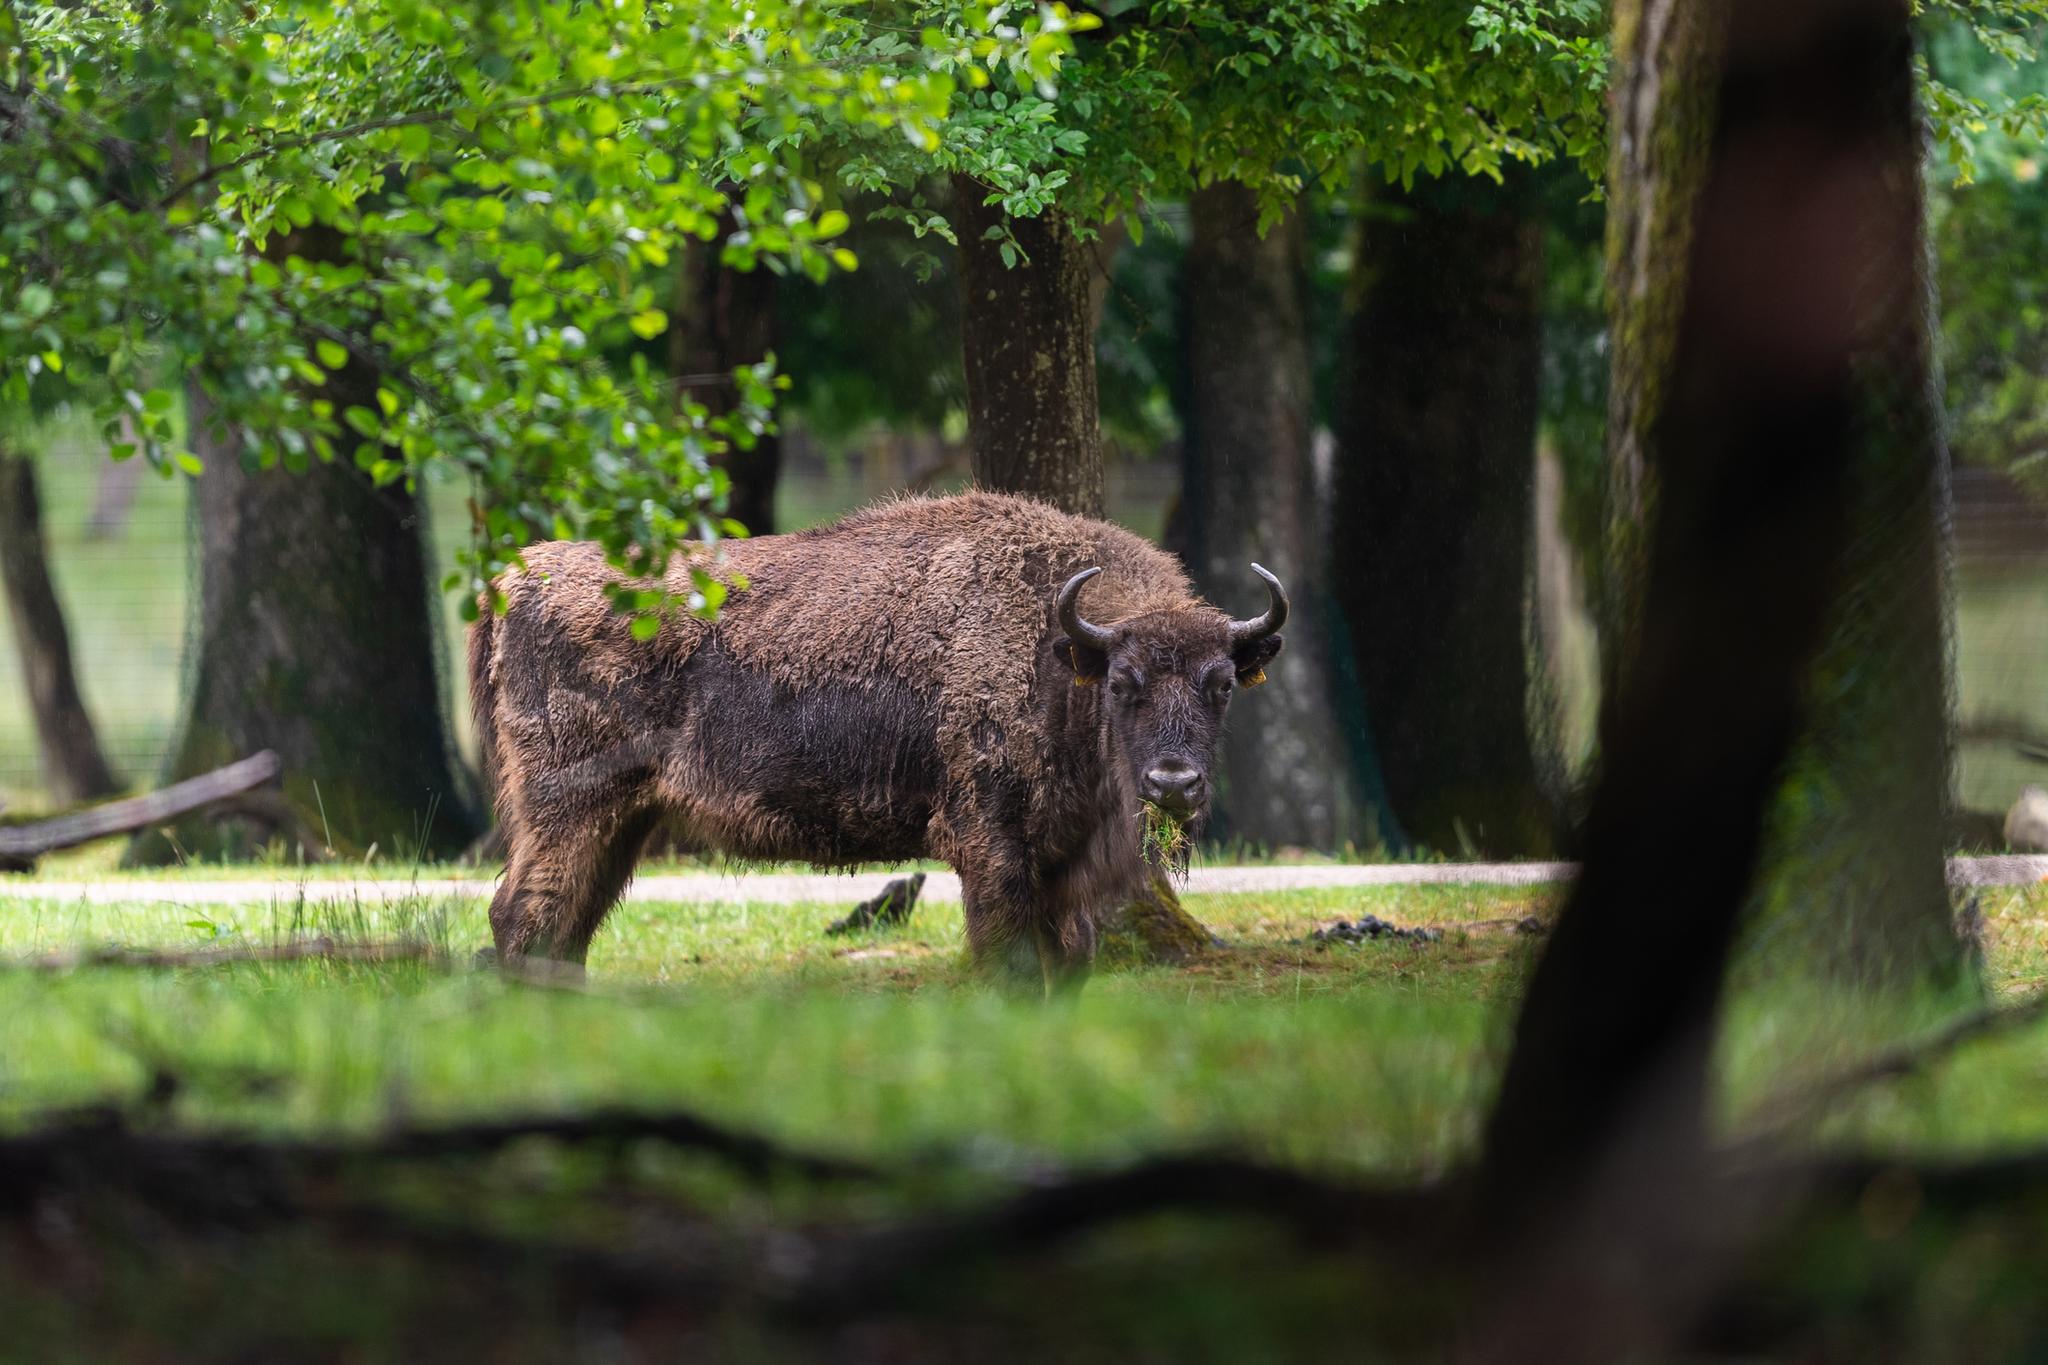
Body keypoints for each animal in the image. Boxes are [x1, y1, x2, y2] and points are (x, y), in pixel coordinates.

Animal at [471, 491, 1286, 994]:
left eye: (1221, 684)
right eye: (1123, 682)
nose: (1173, 783)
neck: (1058, 651)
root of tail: (515, 579)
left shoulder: (1059, 862)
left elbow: (1073, 956)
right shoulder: (992, 847)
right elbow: (1011, 960)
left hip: (622, 823)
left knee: (566, 930)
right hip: (568, 811)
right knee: (524, 917)